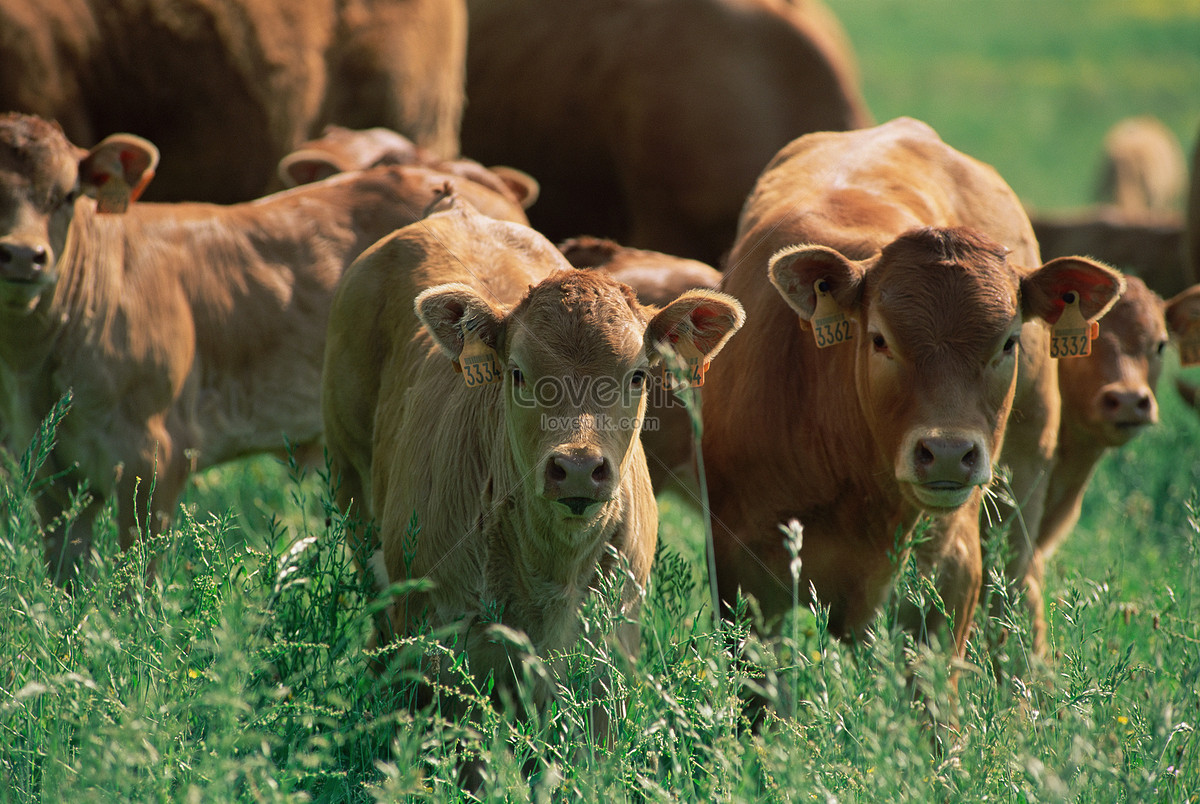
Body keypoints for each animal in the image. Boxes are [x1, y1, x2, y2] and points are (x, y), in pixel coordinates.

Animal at [0, 111, 530, 585]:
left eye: (68, 195)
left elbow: (138, 584)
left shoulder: (153, 456)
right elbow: (66, 579)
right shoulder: (48, 467)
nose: (23, 255)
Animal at [321, 193, 739, 739]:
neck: (550, 571)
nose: (578, 467)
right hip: (351, 485)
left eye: (638, 376)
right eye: (518, 373)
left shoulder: (611, 649)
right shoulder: (439, 644)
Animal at [700, 116, 1123, 652]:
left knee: (1017, 596)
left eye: (1009, 341)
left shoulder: (949, 578)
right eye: (880, 339)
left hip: (1022, 483)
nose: (946, 453)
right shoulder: (745, 575)